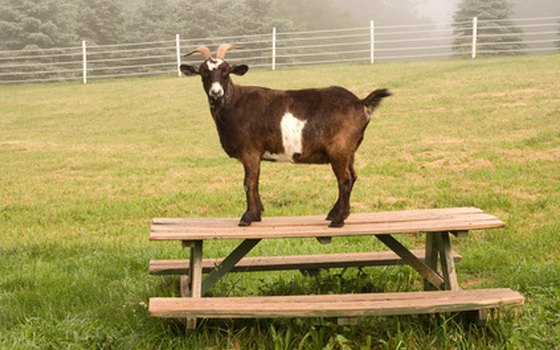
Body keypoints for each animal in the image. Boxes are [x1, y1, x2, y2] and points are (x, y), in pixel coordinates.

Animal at [182, 43, 392, 227]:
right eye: (203, 72)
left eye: (226, 71)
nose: (216, 93)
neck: (234, 104)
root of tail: (361, 103)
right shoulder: (256, 155)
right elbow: (256, 181)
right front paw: (257, 214)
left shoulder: (250, 152)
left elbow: (249, 182)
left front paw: (247, 217)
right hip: (349, 152)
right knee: (353, 177)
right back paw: (336, 214)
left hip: (339, 150)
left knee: (345, 180)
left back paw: (337, 220)